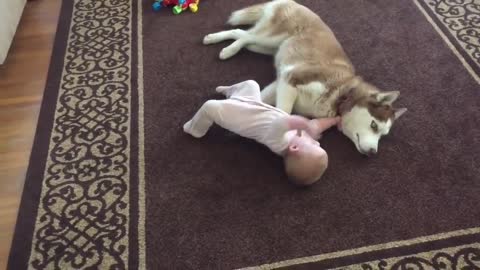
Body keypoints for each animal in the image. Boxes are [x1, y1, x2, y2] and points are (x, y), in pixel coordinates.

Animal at [202, 0, 404, 155]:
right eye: (374, 126)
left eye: (383, 135)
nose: (372, 153)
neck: (342, 95)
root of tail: (294, 3)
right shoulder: (291, 79)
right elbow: (282, 112)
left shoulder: (281, 81)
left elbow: (259, 101)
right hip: (269, 38)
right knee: (244, 35)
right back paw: (224, 47)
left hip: (266, 47)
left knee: (243, 36)